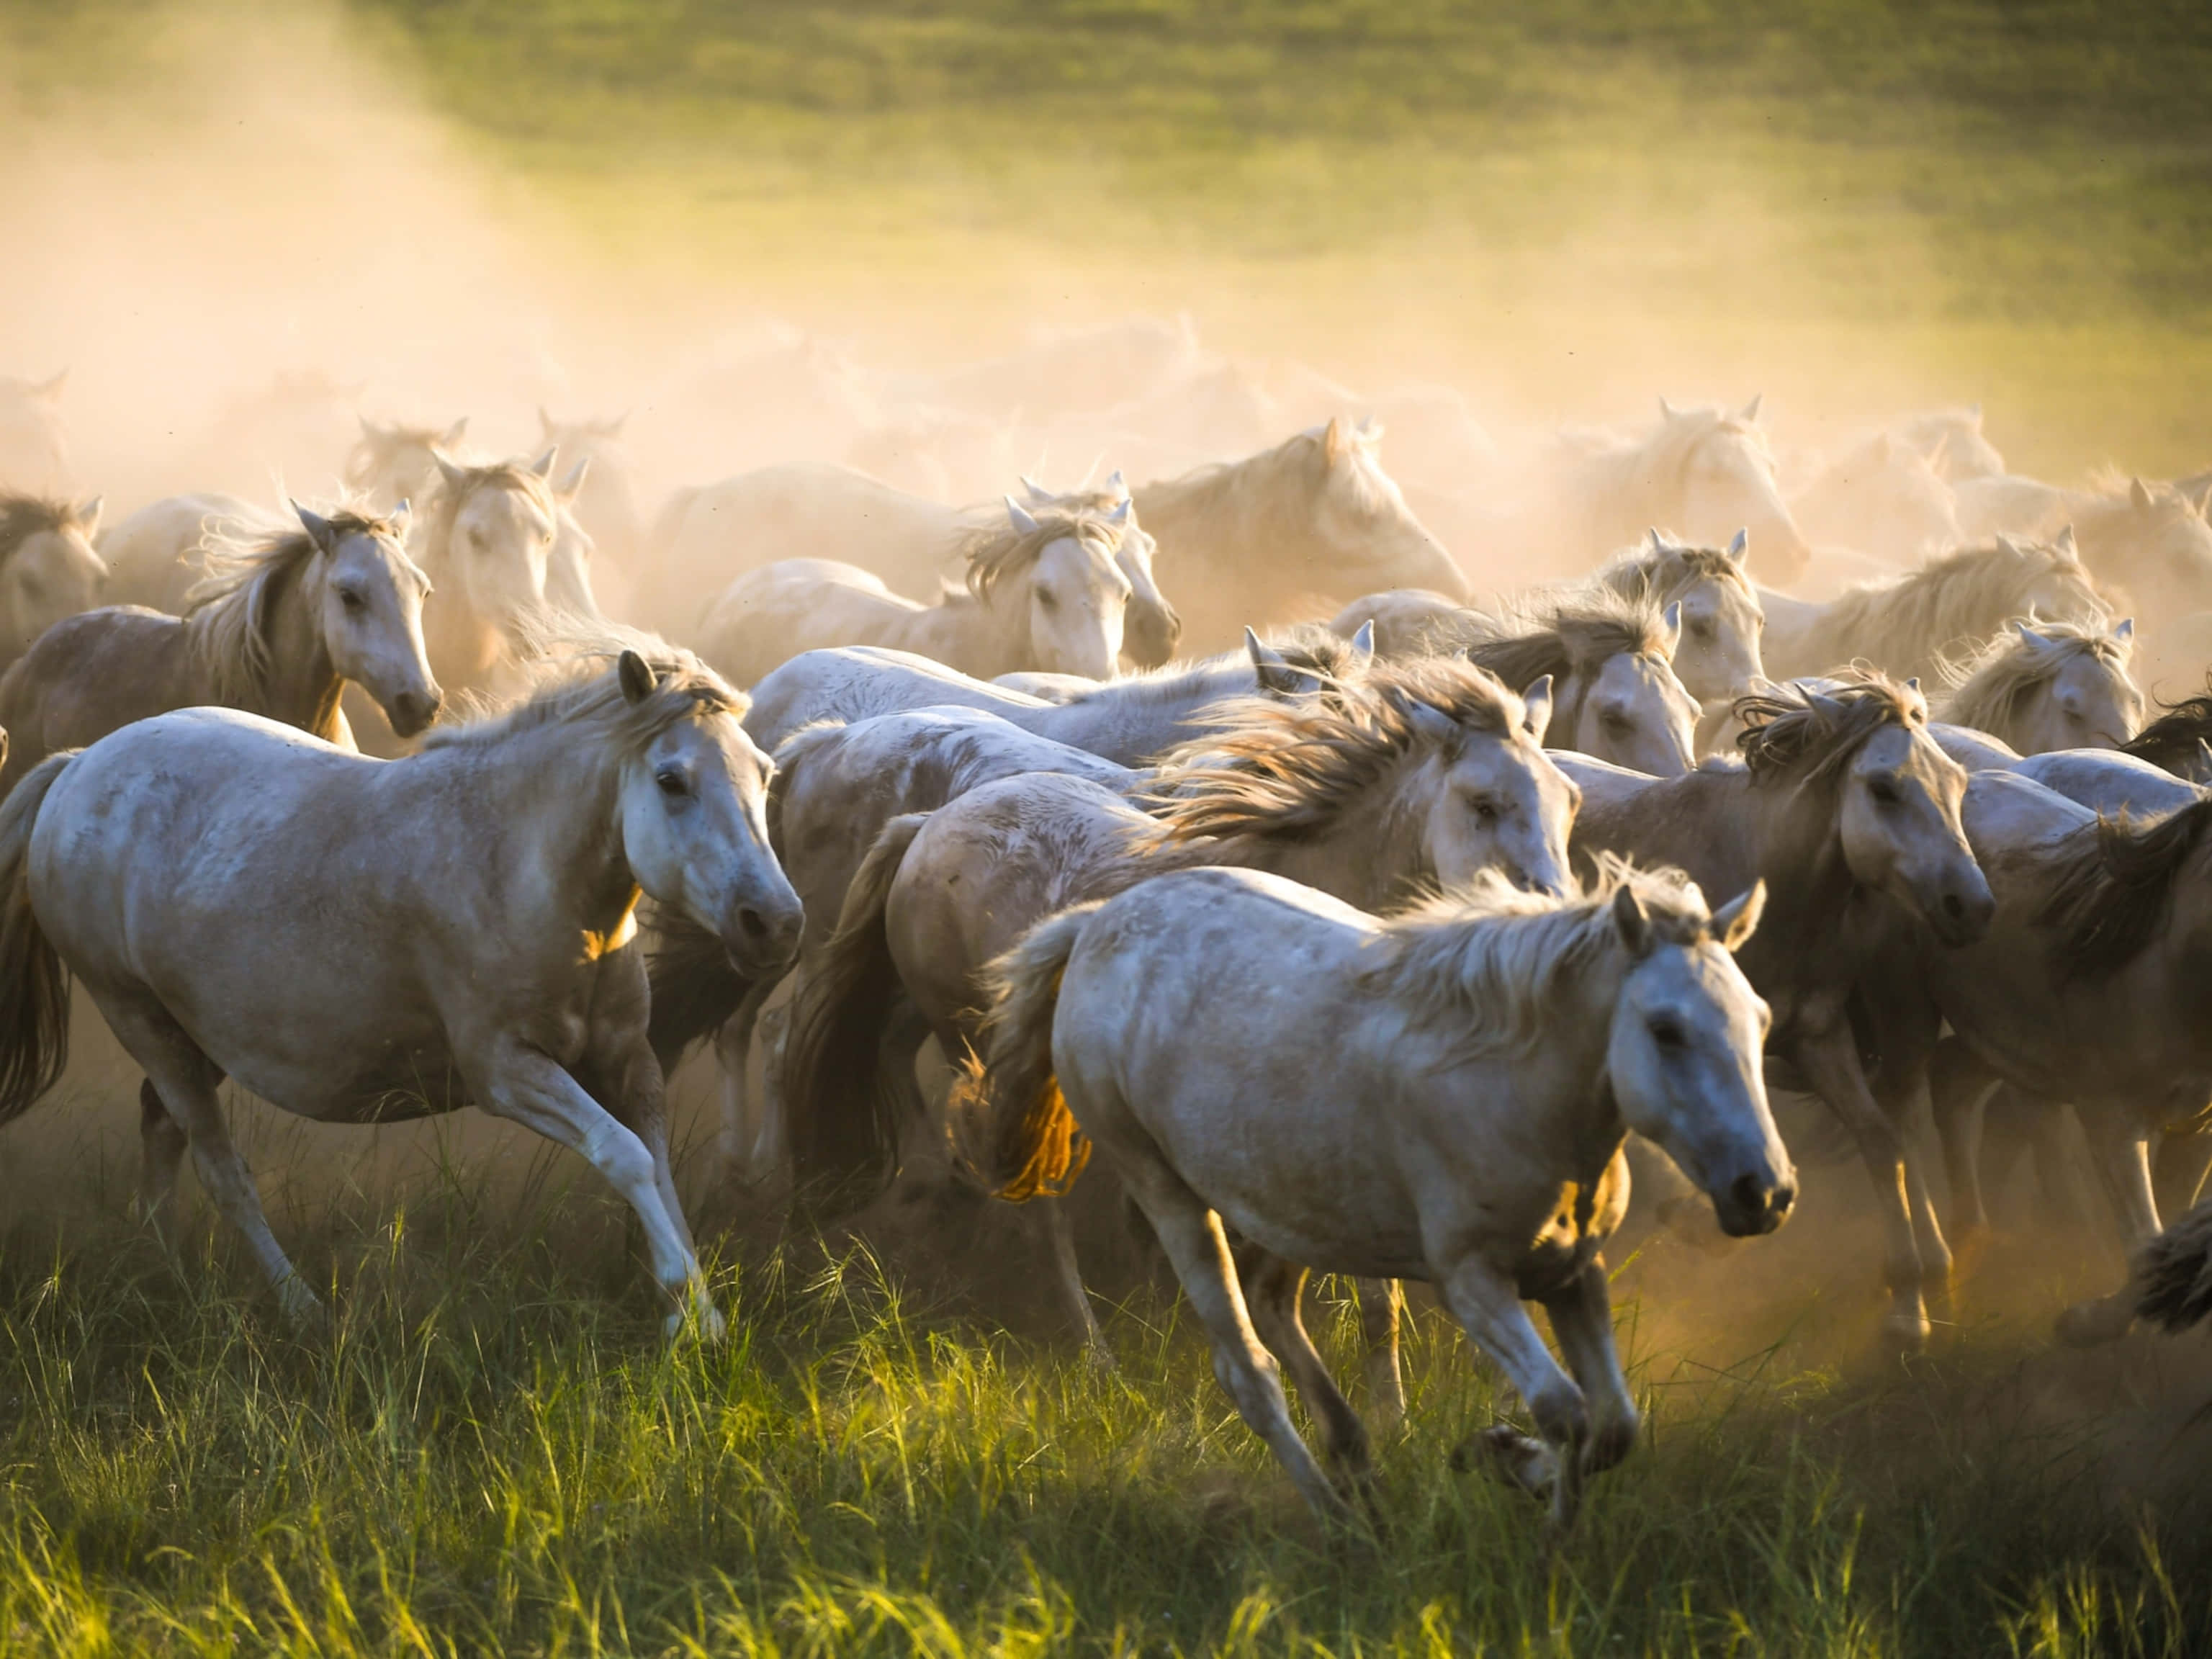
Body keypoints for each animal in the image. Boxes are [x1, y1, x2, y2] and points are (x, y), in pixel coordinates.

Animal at [0, 633, 800, 1337]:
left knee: (162, 1130)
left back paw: (163, 1262)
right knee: (221, 1168)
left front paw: (694, 1304)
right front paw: (689, 1312)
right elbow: (626, 1157)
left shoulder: (630, 1062)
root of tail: (78, 766)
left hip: (195, 1035)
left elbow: (658, 1171)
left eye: (765, 773)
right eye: (671, 779)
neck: (518, 866)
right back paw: (300, 1308)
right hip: (137, 1015)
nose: (775, 922)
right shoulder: (508, 1073)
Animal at [779, 658, 1575, 1384]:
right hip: (977, 1047)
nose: (1552, 913)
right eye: (1482, 803)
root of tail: (925, 827)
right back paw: (1095, 1355)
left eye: (1566, 801)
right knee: (1033, 1203)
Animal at [950, 862, 1788, 1527]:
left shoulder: (1575, 1272)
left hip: (1294, 1203)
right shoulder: (1471, 1282)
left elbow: (1614, 1425)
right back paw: (1343, 1523)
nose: (1765, 1192)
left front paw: (1500, 1456)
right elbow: (1566, 1411)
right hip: (1168, 1194)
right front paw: (1535, 1506)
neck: (1509, 1083)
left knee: (1272, 1302)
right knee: (1248, 1369)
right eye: (1666, 1027)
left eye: (1760, 1018)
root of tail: (1094, 925)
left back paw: (1357, 1462)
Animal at [1563, 677, 1993, 1344]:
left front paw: (1908, 1303)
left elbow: (1881, 1140)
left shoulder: (1819, 1037)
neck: (1760, 871)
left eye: (1957, 781)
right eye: (1883, 787)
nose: (1971, 904)